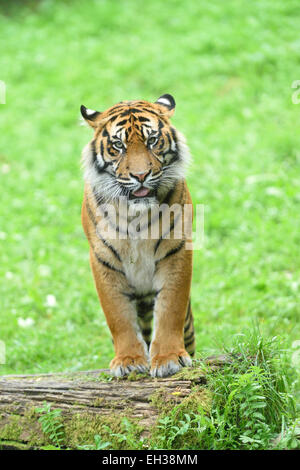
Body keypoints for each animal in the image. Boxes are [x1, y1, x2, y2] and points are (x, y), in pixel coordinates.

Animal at [81, 94, 196, 378]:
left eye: (152, 141)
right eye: (118, 145)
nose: (141, 176)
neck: (135, 215)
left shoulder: (176, 251)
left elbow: (170, 309)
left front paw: (168, 358)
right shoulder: (103, 260)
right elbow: (118, 316)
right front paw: (129, 360)